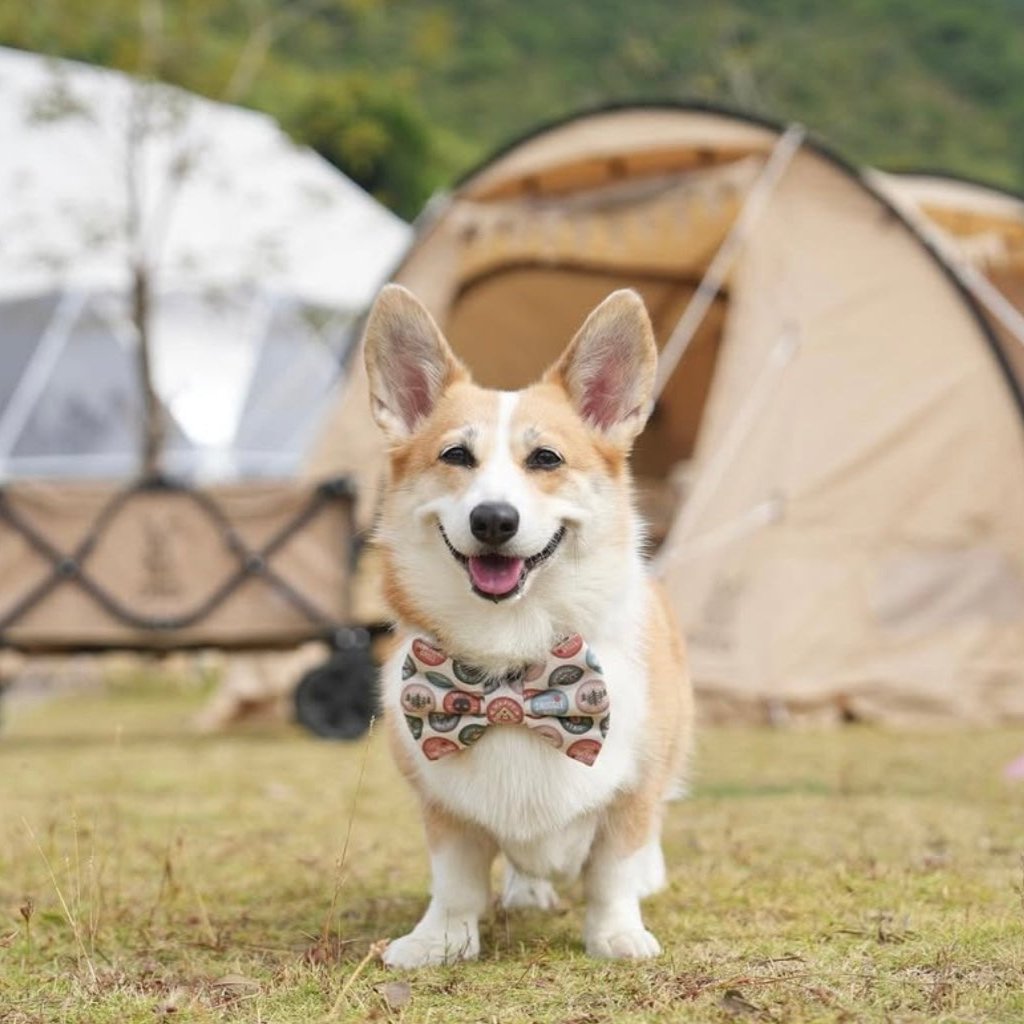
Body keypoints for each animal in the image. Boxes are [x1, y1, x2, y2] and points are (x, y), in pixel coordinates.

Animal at [364, 284, 692, 962]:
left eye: (545, 458)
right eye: (456, 455)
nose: (493, 519)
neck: (511, 670)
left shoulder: (633, 790)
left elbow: (613, 870)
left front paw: (617, 934)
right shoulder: (443, 805)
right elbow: (456, 880)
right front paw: (438, 941)